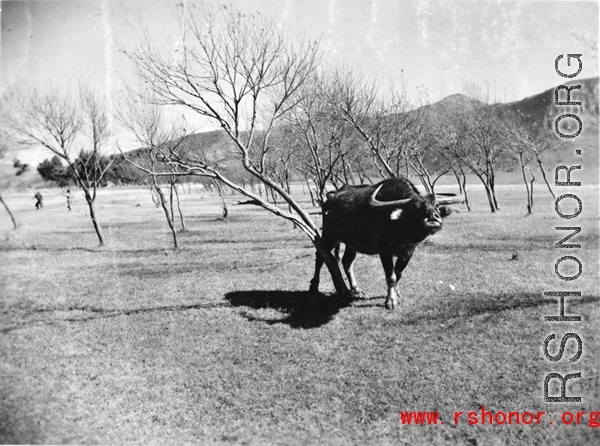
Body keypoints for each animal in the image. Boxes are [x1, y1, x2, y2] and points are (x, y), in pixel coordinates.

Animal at [310, 178, 464, 310]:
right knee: (321, 254)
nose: (432, 217)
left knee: (347, 261)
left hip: (351, 243)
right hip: (330, 236)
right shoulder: (384, 251)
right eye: (415, 208)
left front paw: (396, 292)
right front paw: (390, 301)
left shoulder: (409, 251)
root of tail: (330, 199)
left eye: (436, 206)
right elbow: (391, 276)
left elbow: (398, 273)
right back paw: (314, 286)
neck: (401, 227)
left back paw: (356, 289)